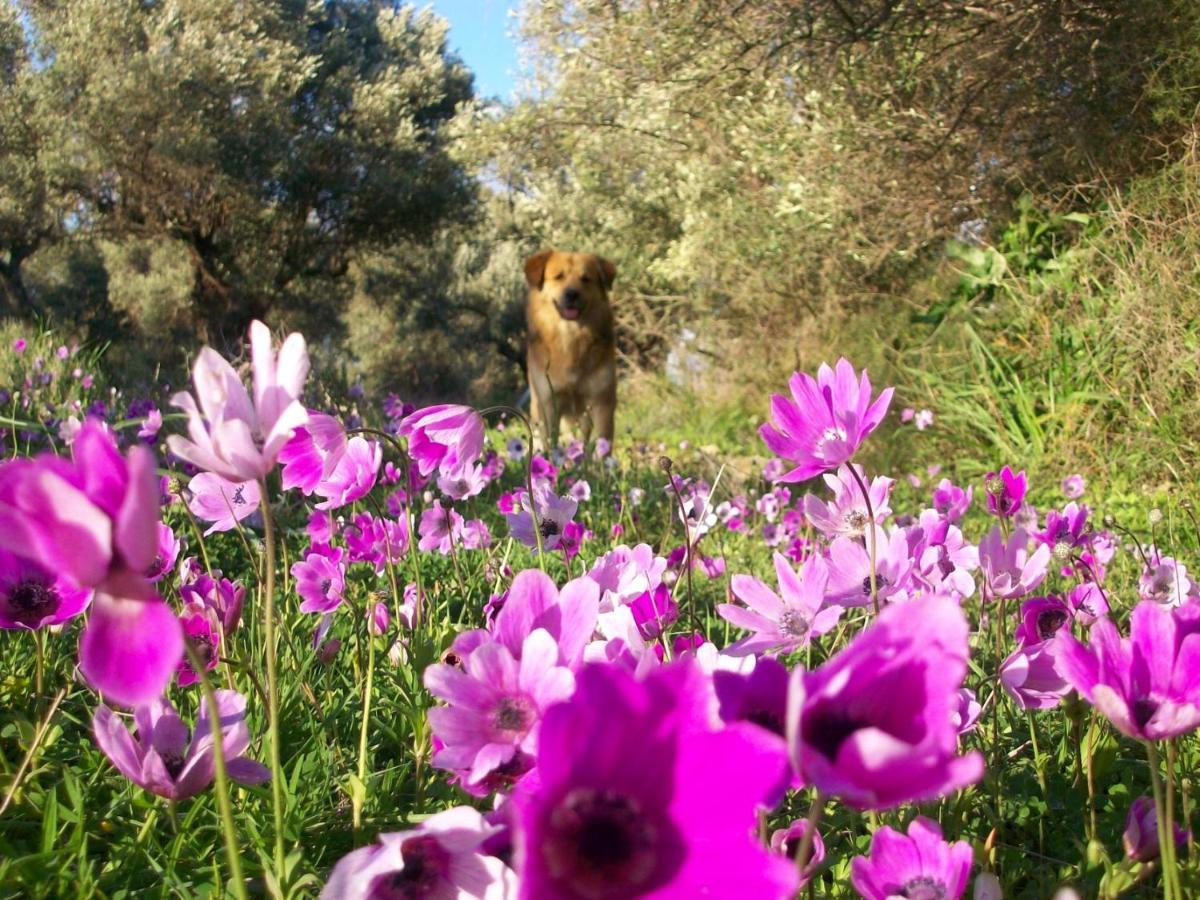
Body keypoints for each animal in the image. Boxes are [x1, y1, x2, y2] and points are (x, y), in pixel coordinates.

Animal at [523, 248, 619, 448]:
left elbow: (602, 443)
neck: (570, 337)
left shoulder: (602, 402)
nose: (572, 294)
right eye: (559, 276)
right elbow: (550, 443)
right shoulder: (549, 402)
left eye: (586, 278)